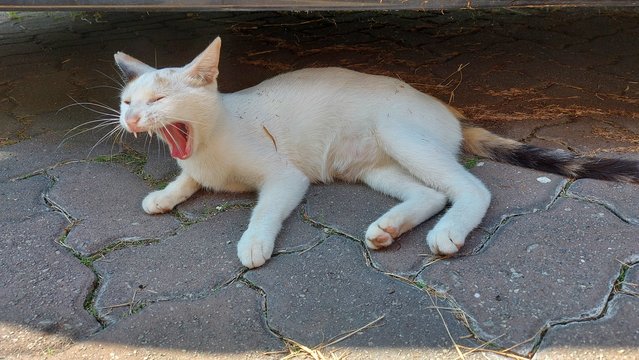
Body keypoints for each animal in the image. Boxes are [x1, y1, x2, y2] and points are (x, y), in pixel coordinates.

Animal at [115, 38, 639, 268]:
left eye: (157, 100)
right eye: (126, 102)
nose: (132, 120)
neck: (210, 140)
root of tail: (448, 109)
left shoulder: (285, 177)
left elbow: (263, 209)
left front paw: (254, 241)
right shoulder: (196, 166)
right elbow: (187, 179)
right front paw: (164, 195)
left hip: (398, 133)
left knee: (471, 187)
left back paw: (449, 231)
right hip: (375, 167)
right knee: (432, 194)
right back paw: (389, 228)